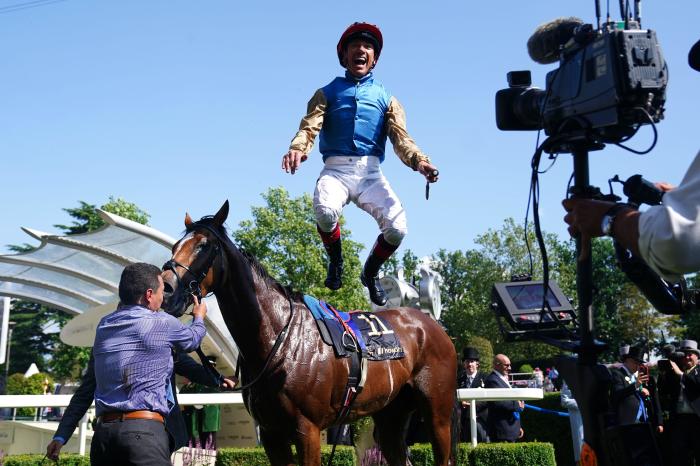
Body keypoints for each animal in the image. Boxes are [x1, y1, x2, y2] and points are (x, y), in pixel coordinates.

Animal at [161, 201, 456, 466]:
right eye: (175, 247)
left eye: (203, 245)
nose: (166, 290)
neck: (278, 340)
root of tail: (432, 325)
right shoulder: (272, 434)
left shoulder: (308, 431)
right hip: (390, 416)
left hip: (437, 415)